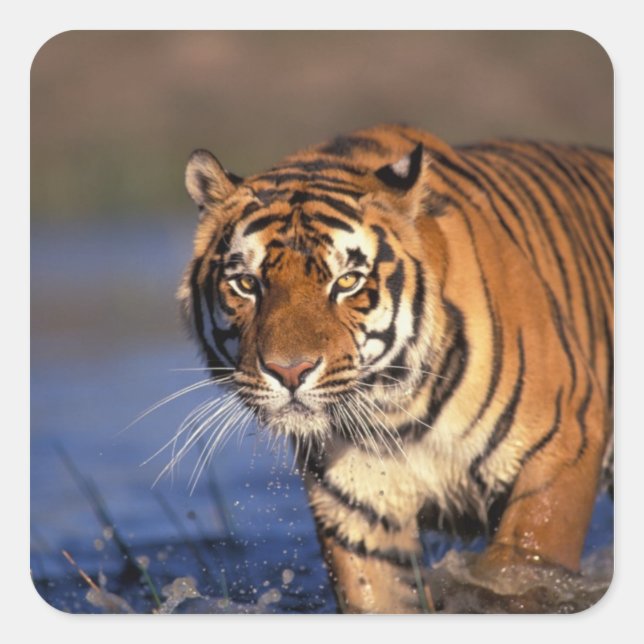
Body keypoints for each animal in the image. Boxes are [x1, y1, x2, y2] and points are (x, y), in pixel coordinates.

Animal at [177, 124, 613, 613]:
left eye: (347, 281)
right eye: (246, 284)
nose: (290, 372)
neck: (396, 412)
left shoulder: (564, 443)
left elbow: (518, 571)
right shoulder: (358, 506)